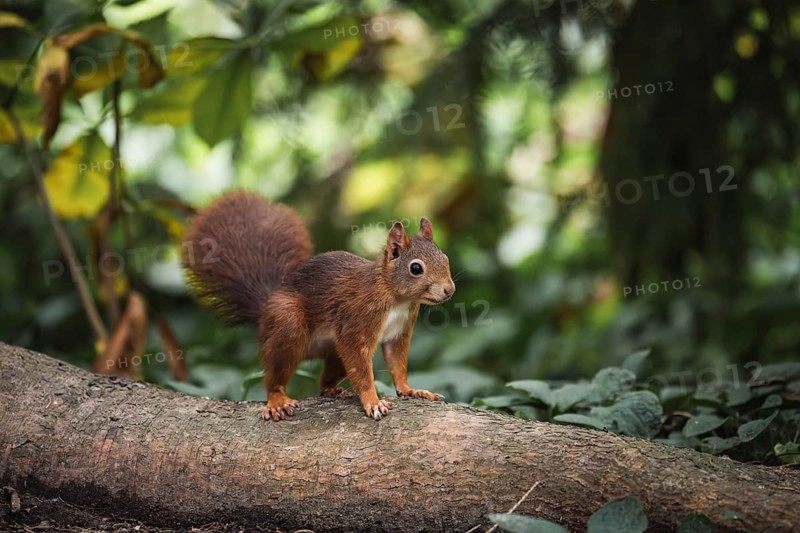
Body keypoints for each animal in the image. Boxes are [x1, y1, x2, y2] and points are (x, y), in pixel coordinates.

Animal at [181, 190, 456, 421]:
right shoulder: (356, 322)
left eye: (445, 258)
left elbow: (397, 365)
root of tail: (266, 306)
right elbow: (361, 368)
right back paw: (277, 400)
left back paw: (334, 390)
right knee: (274, 377)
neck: (396, 298)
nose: (450, 290)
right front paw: (372, 400)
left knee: (324, 382)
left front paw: (411, 390)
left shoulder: (399, 333)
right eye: (416, 268)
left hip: (333, 353)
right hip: (287, 324)